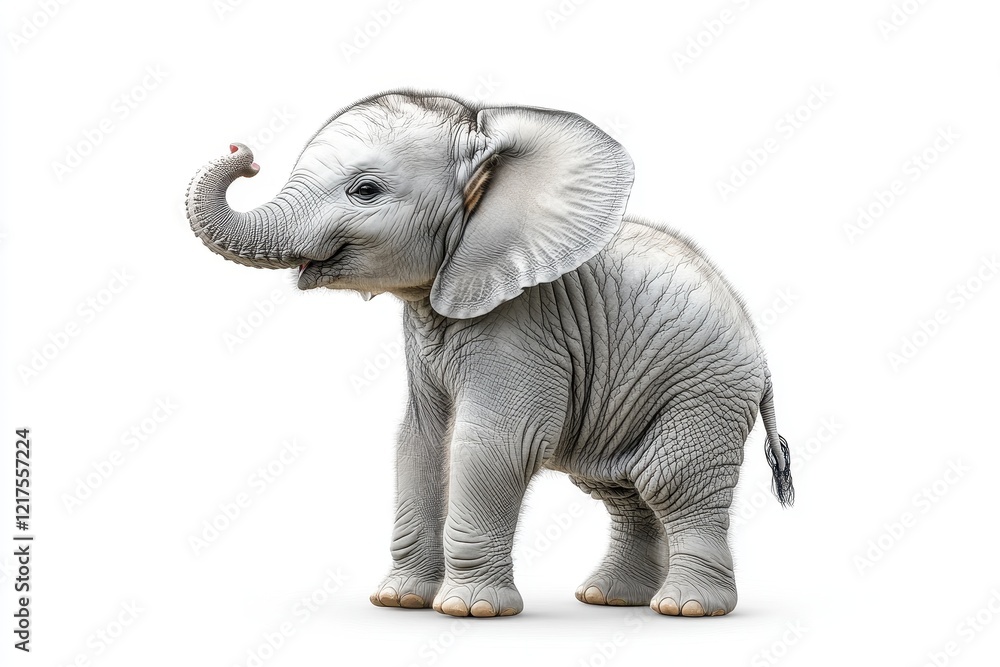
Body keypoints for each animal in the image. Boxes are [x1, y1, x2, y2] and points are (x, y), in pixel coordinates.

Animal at [185, 90, 794, 618]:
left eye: (365, 191)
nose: (243, 153)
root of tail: (763, 357)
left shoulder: (524, 323)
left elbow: (495, 442)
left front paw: (468, 610)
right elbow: (420, 441)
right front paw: (399, 601)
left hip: (707, 389)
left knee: (673, 483)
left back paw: (685, 609)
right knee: (622, 491)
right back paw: (608, 600)